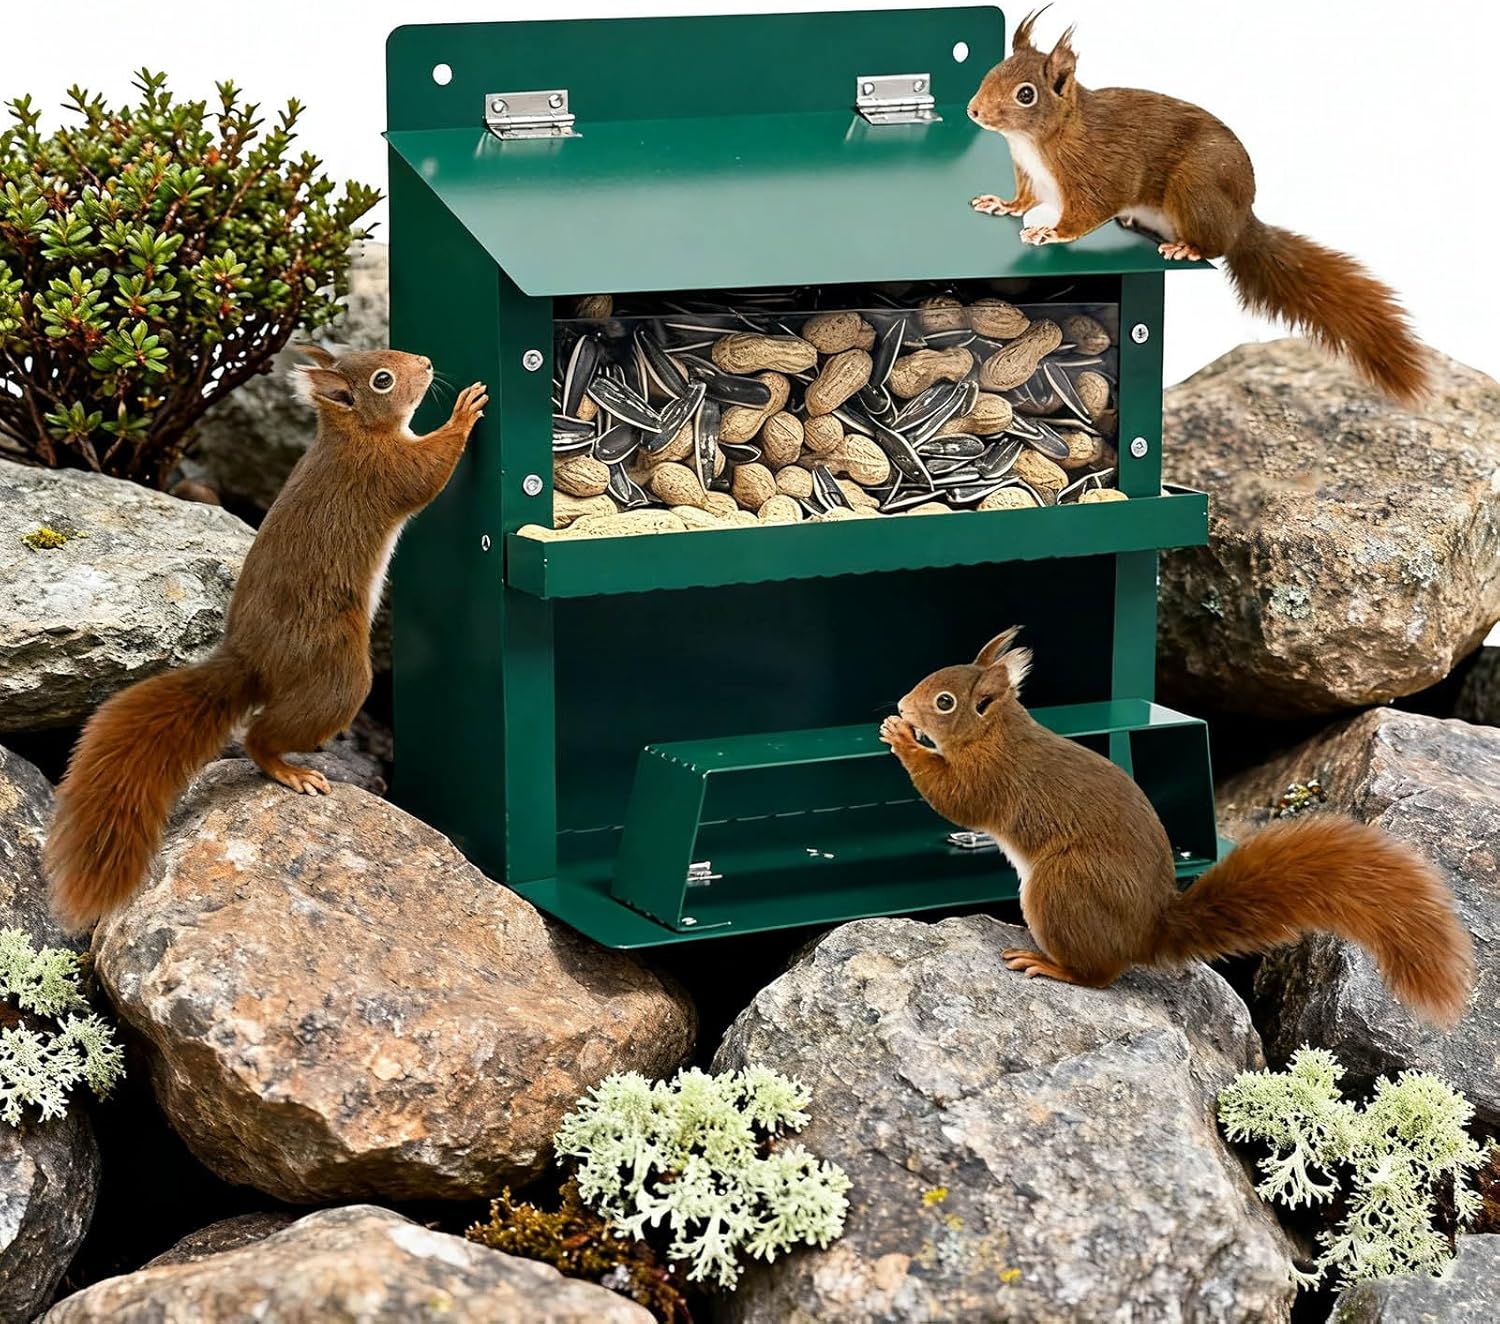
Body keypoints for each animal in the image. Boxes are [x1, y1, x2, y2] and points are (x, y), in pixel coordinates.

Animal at [44, 348, 488, 931]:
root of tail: (250, 661)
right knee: (260, 735)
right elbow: (427, 474)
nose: (427, 362)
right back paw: (289, 770)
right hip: (339, 673)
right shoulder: (381, 471)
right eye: (382, 379)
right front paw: (464, 412)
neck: (354, 434)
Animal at [879, 627, 1475, 1028]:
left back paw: (1048, 964)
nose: (902, 703)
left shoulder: (994, 778)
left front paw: (902, 738)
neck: (996, 732)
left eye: (944, 702)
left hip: (1063, 887)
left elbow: (957, 800)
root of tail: (1147, 932)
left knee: (1099, 975)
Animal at [966, 8, 1428, 402]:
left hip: (1196, 192)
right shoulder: (1031, 178)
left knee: (1214, 246)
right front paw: (1003, 205)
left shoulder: (1100, 172)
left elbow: (1087, 212)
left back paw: (1185, 247)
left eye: (1026, 94)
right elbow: (1025, 200)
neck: (1035, 142)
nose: (974, 110)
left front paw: (1050, 231)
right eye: (990, 73)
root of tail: (1242, 221)